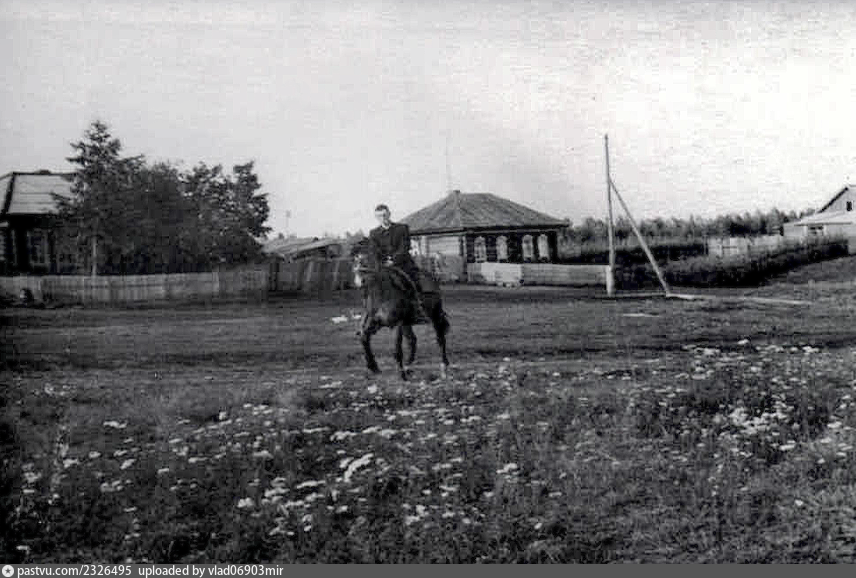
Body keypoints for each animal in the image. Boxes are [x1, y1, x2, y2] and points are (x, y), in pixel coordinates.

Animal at [351, 239, 450, 380]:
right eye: (354, 259)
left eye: (369, 255)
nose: (361, 280)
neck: (382, 293)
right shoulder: (376, 322)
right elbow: (364, 338)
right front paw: (373, 366)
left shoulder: (398, 323)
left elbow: (397, 349)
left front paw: (401, 374)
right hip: (407, 324)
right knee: (412, 341)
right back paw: (408, 366)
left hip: (435, 315)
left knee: (440, 339)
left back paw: (443, 368)